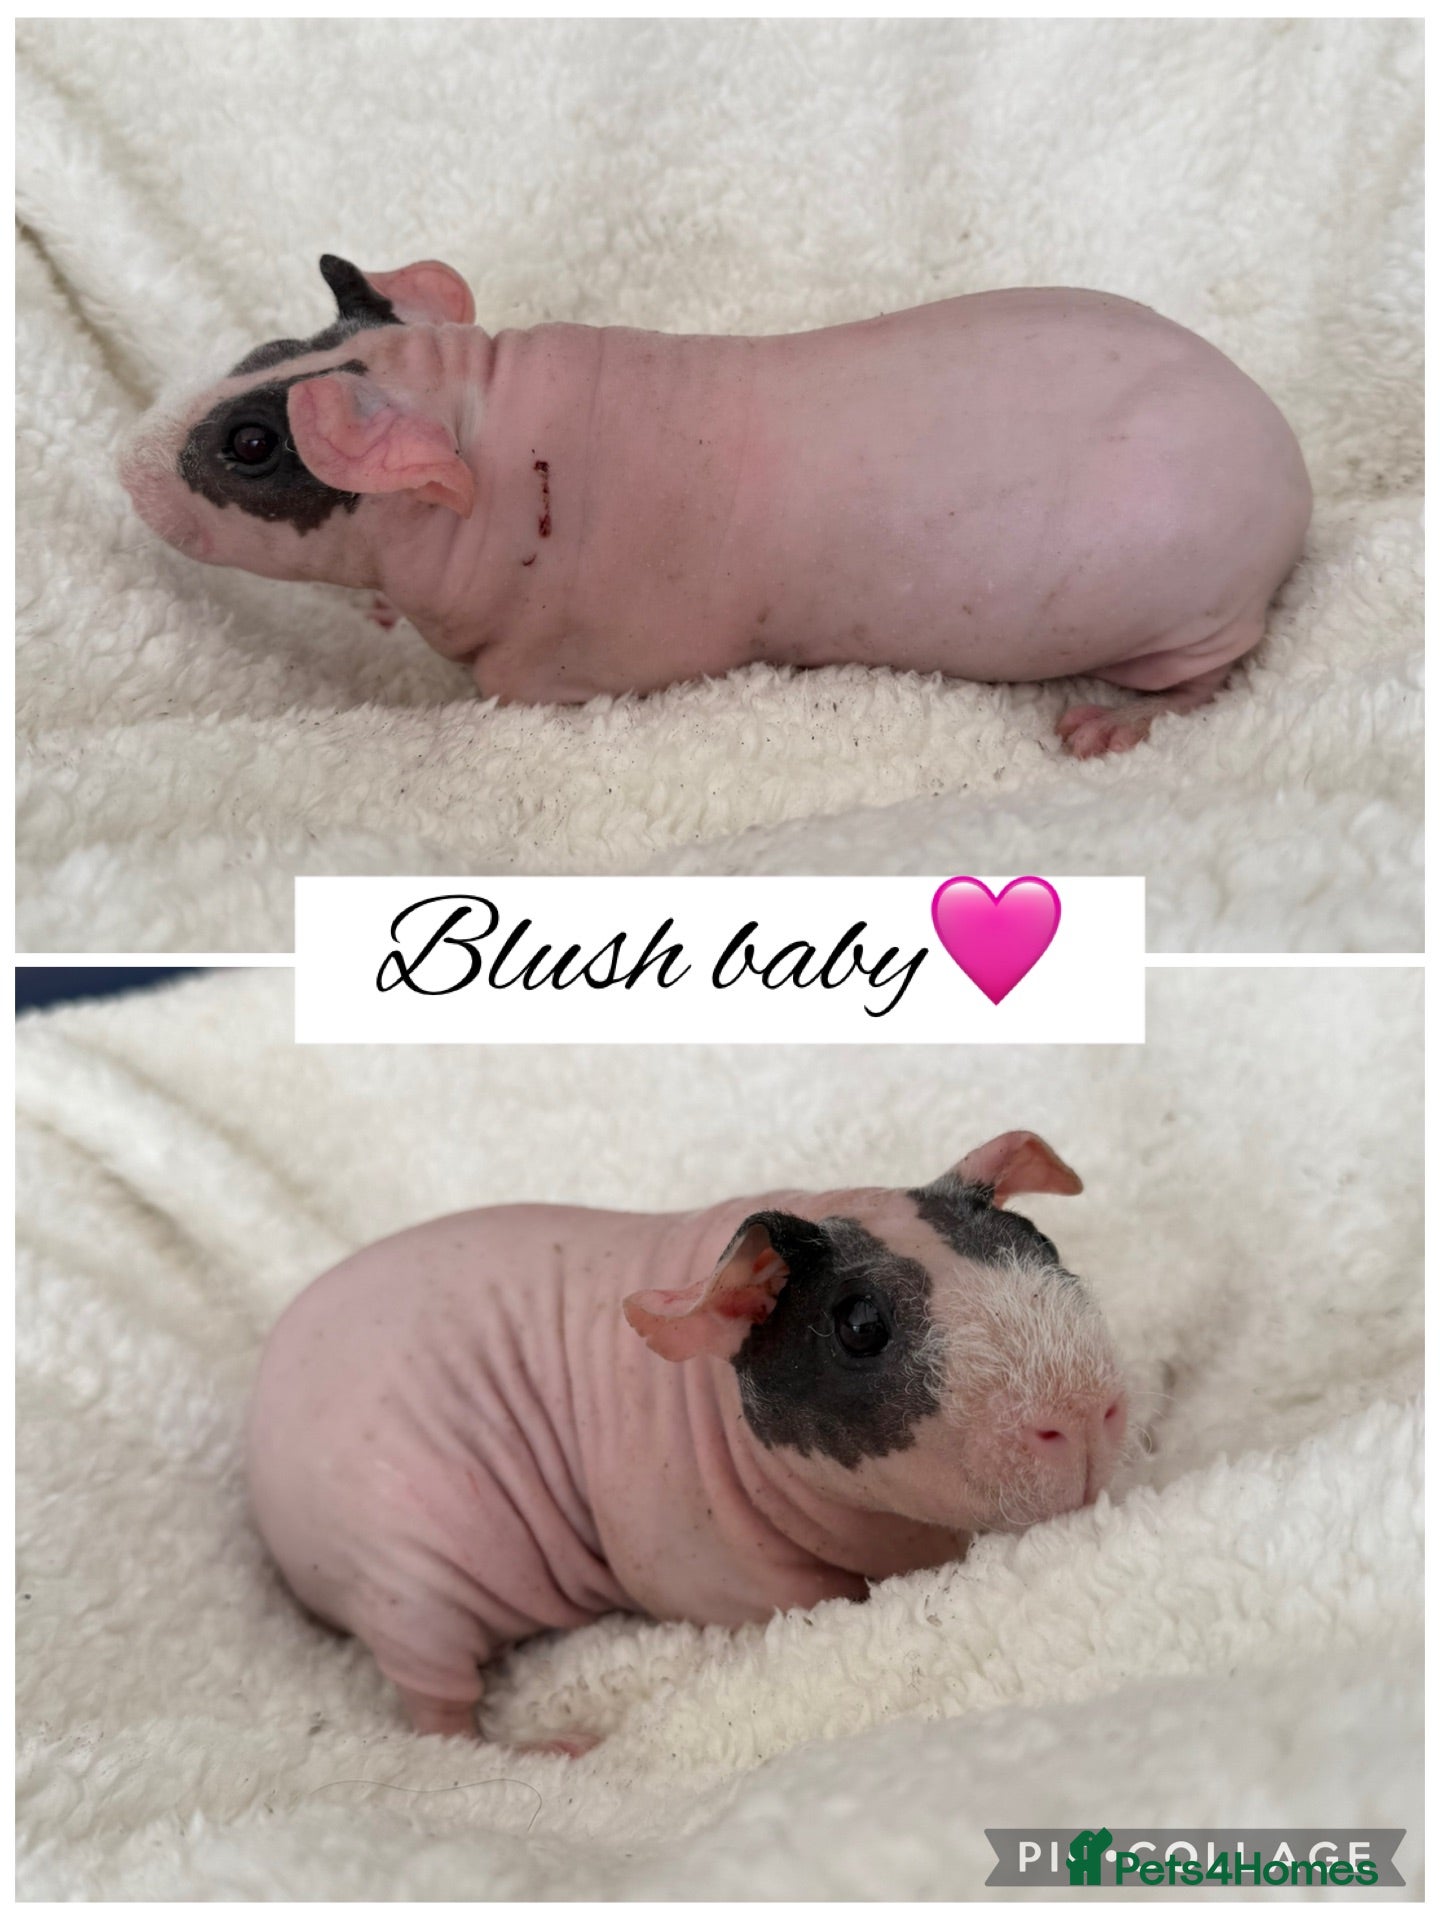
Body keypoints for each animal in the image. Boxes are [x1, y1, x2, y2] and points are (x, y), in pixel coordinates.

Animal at [120, 256, 1312, 756]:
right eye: (262, 355)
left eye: (251, 445)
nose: (125, 465)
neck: (485, 426)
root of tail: (1291, 476)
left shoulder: (563, 668)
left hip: (1185, 608)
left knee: (1218, 670)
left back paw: (1118, 721)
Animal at [245, 1131, 1127, 1742]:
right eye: (859, 1326)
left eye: (1040, 1245)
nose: (1086, 1415)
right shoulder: (717, 1575)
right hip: (404, 1577)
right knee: (436, 1712)